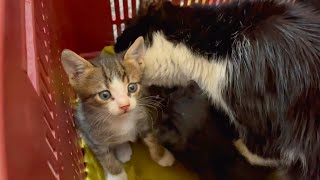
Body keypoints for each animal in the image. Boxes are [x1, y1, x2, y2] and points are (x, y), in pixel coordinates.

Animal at [60, 41, 175, 180]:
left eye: (132, 87)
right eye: (105, 95)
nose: (125, 105)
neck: (121, 120)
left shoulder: (143, 117)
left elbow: (150, 138)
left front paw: (162, 155)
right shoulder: (94, 137)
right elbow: (106, 158)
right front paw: (116, 175)